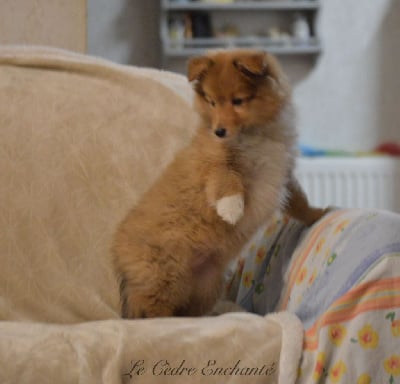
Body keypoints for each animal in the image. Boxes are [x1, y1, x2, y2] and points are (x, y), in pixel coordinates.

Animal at [111, 48, 326, 318]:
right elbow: (227, 179)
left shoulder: (282, 174)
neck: (255, 134)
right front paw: (232, 210)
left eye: (238, 101)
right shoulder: (214, 162)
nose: (219, 132)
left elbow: (298, 201)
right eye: (212, 102)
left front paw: (318, 214)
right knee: (150, 311)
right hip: (161, 276)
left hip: (206, 286)